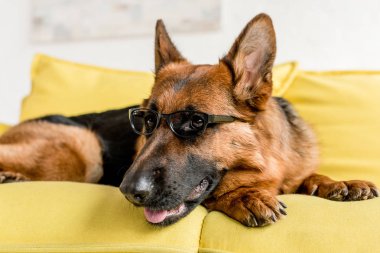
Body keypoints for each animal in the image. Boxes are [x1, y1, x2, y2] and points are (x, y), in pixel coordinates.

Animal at [1, 13, 378, 227]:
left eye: (195, 122)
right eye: (145, 121)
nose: (128, 191)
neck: (264, 161)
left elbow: (306, 176)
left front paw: (335, 182)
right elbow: (226, 190)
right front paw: (244, 196)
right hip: (84, 150)